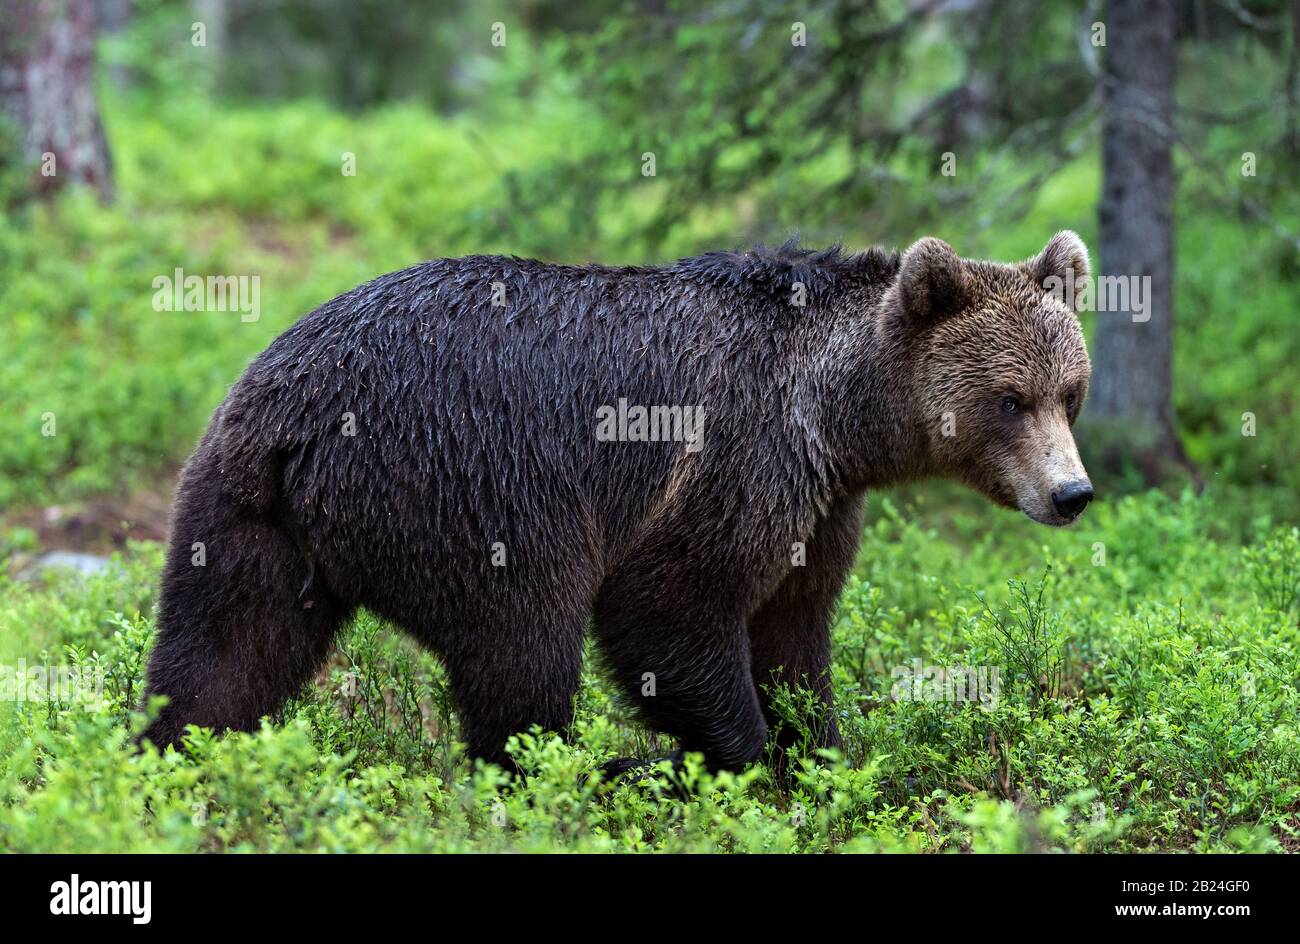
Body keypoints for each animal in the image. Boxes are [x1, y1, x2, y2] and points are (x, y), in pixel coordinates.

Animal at [139, 231, 1097, 774]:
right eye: (1009, 398)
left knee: (222, 652)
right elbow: (671, 609)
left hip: (240, 508)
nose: (1073, 492)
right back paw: (556, 777)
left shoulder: (818, 507)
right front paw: (738, 759)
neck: (834, 414)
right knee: (522, 651)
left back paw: (171, 765)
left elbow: (794, 632)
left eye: (1070, 392)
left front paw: (820, 755)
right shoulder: (732, 461)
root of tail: (299, 426)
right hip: (476, 486)